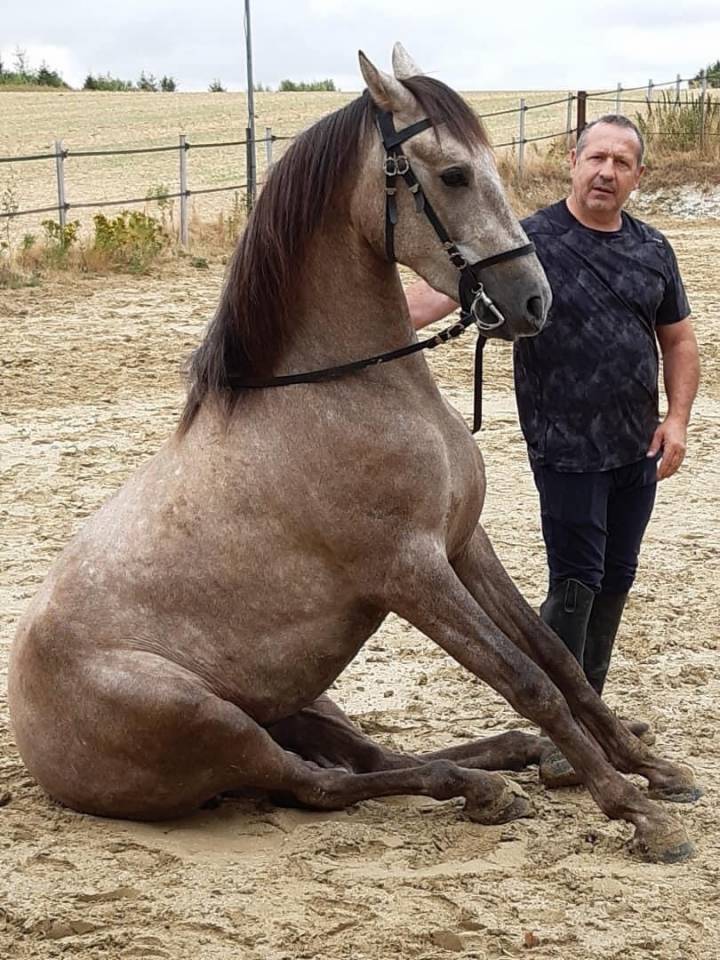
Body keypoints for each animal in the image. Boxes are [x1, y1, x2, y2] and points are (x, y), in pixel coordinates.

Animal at [8, 45, 700, 862]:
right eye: (454, 174)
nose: (534, 301)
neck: (342, 390)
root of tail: (29, 728)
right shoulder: (411, 575)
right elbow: (526, 679)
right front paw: (638, 812)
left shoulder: (464, 546)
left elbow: (557, 659)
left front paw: (651, 767)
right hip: (210, 719)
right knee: (318, 784)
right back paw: (488, 785)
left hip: (305, 700)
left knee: (368, 756)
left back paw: (507, 763)